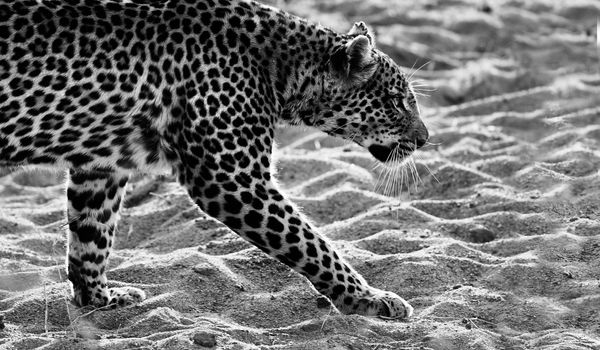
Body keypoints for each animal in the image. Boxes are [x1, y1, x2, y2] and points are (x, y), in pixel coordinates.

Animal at [0, 0, 426, 320]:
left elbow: (92, 235)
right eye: (396, 101)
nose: (424, 139)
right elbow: (311, 244)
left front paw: (99, 299)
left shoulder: (102, 165)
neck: (284, 69)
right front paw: (368, 299)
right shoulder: (233, 179)